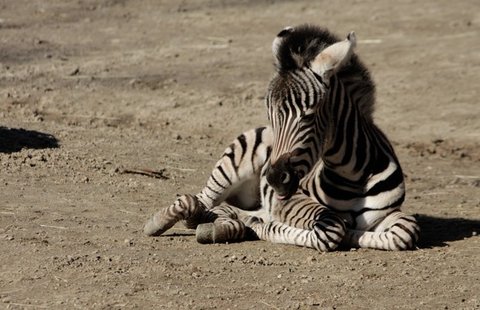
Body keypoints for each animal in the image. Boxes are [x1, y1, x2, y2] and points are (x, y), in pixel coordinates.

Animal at [143, 24, 420, 252]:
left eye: (309, 115)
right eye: (271, 116)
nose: (274, 178)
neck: (353, 176)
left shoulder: (390, 214)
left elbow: (405, 231)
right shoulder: (290, 201)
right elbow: (330, 229)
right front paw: (266, 226)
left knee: (217, 210)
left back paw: (224, 225)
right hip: (230, 168)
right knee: (197, 201)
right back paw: (161, 222)